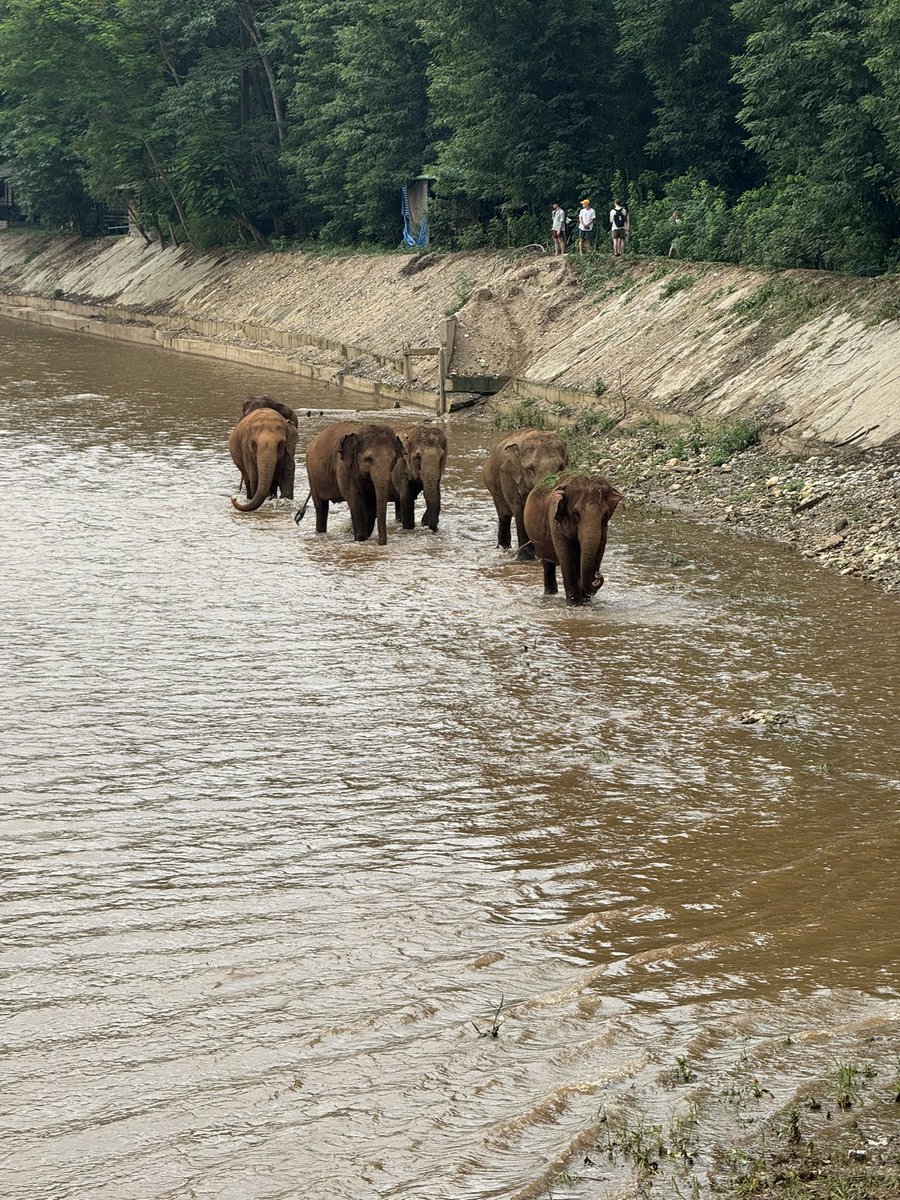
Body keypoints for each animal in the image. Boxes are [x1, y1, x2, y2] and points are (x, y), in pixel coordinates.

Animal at [482, 429, 566, 559]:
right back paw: (503, 549)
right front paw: (524, 558)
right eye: (530, 468)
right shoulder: (509, 480)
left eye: (561, 467)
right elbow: (520, 512)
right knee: (504, 516)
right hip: (493, 485)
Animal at [525, 472, 624, 604]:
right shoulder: (556, 524)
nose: (598, 575)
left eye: (605, 514)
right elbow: (567, 557)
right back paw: (550, 594)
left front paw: (586, 599)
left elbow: (598, 554)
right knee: (547, 563)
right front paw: (575, 603)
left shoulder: (604, 530)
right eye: (576, 513)